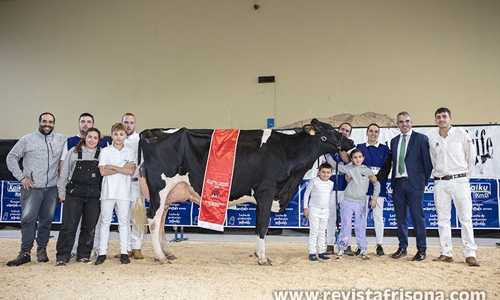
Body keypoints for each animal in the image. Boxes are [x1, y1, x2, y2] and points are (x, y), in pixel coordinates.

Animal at [139, 118, 354, 264]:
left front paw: (258, 254)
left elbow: (259, 225)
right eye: (329, 130)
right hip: (160, 189)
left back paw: (168, 253)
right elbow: (262, 225)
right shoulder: (265, 191)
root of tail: (151, 132)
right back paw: (160, 257)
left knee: (161, 221)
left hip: (170, 194)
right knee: (154, 220)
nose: (351, 143)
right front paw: (263, 258)